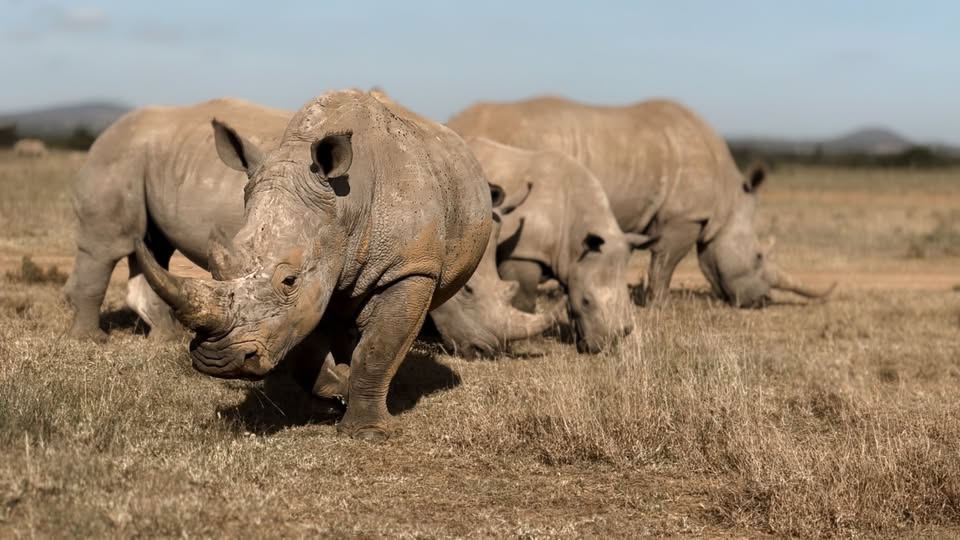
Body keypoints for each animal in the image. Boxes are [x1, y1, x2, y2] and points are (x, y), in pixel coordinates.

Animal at [64, 96, 548, 358]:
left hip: (152, 155)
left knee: (151, 247)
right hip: (119, 152)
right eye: (468, 293)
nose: (488, 350)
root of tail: (111, 128)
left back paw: (163, 337)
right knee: (108, 244)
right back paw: (91, 340)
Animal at [449, 97, 835, 307]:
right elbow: (665, 263)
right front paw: (660, 304)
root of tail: (455, 121)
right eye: (757, 257)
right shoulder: (686, 216)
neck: (728, 199)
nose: (762, 301)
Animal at [465, 137, 654, 353]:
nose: (604, 346)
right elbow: (525, 297)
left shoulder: (571, 259)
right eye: (586, 301)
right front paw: (527, 342)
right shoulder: (523, 252)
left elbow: (570, 298)